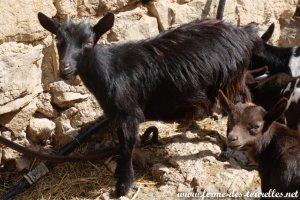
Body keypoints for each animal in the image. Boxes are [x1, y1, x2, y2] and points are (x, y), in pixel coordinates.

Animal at [38, 12, 260, 197]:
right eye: (59, 40)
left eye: (88, 43)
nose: (65, 69)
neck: (111, 71)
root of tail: (243, 33)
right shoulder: (117, 115)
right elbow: (123, 142)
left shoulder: (129, 113)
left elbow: (128, 145)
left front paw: (123, 185)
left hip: (231, 81)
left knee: (237, 107)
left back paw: (229, 148)